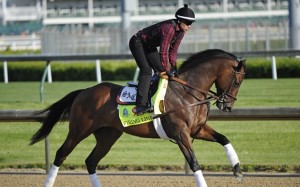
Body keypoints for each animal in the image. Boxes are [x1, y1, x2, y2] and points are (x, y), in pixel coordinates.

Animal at [30, 49, 246, 186]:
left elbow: (224, 139)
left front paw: (237, 170)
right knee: (61, 154)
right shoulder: (180, 134)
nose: (227, 106)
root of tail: (84, 91)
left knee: (91, 161)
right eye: (237, 81)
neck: (187, 92)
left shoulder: (197, 130)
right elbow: (194, 162)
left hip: (108, 135)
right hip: (79, 130)